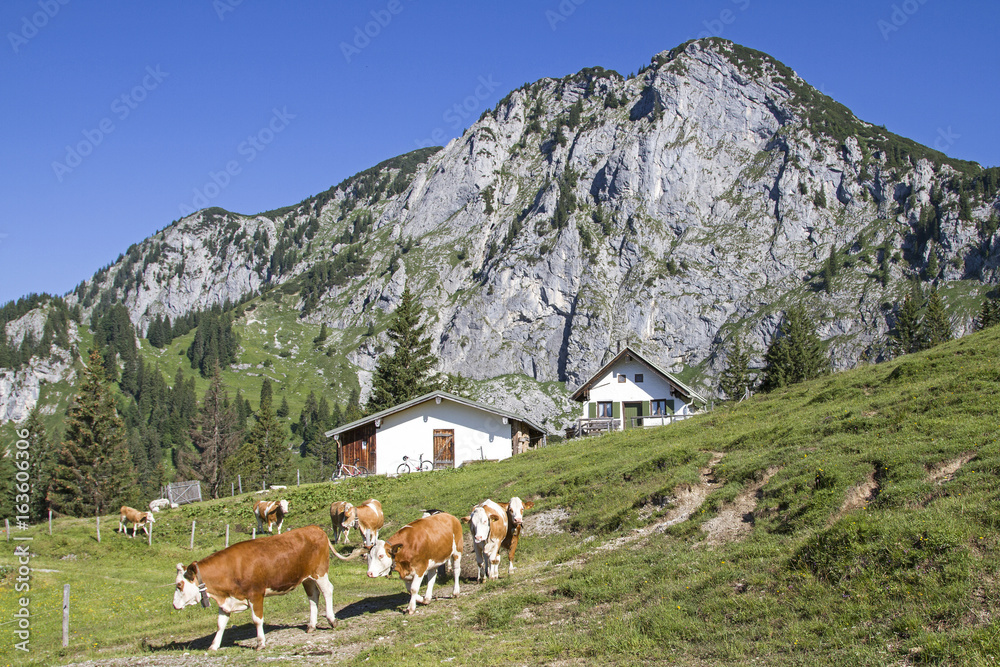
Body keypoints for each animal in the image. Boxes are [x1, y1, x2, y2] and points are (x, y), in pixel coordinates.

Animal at [172, 524, 340, 648]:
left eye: (179, 585)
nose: (174, 605)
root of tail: (315, 528)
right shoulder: (226, 599)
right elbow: (220, 624)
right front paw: (213, 646)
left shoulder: (256, 594)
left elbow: (257, 619)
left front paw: (260, 643)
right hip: (307, 578)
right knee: (313, 596)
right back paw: (311, 625)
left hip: (320, 572)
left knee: (327, 590)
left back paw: (331, 620)